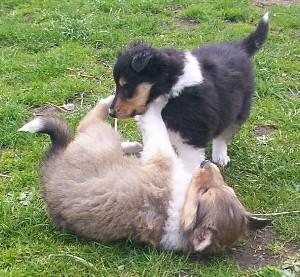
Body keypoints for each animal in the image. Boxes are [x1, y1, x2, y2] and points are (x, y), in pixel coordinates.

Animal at [19, 95, 272, 252]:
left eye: (206, 191)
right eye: (225, 187)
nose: (206, 164)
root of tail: (51, 166)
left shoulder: (161, 156)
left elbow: (157, 128)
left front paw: (155, 105)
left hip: (99, 136)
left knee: (89, 120)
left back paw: (112, 104)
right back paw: (132, 144)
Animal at [109, 14, 268, 171]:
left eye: (126, 85)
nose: (111, 113)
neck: (173, 89)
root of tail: (239, 48)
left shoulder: (191, 139)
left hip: (240, 106)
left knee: (226, 131)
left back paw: (220, 156)